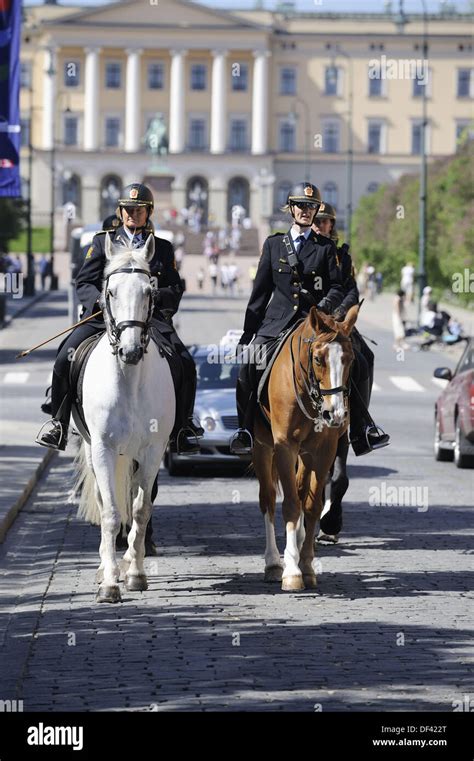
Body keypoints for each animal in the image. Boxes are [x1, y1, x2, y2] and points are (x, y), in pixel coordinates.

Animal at [76, 232, 176, 600]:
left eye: (150, 291)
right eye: (110, 292)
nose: (130, 350)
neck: (129, 379)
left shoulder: (152, 451)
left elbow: (140, 510)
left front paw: (135, 573)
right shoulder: (103, 447)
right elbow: (110, 512)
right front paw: (109, 583)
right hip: (93, 449)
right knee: (106, 500)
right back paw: (106, 567)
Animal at [252, 302, 360, 588]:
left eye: (350, 359)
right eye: (318, 359)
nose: (336, 414)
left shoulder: (324, 450)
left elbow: (311, 505)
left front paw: (307, 564)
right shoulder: (284, 446)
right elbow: (290, 503)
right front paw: (291, 571)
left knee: (303, 493)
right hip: (262, 447)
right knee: (268, 498)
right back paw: (273, 562)